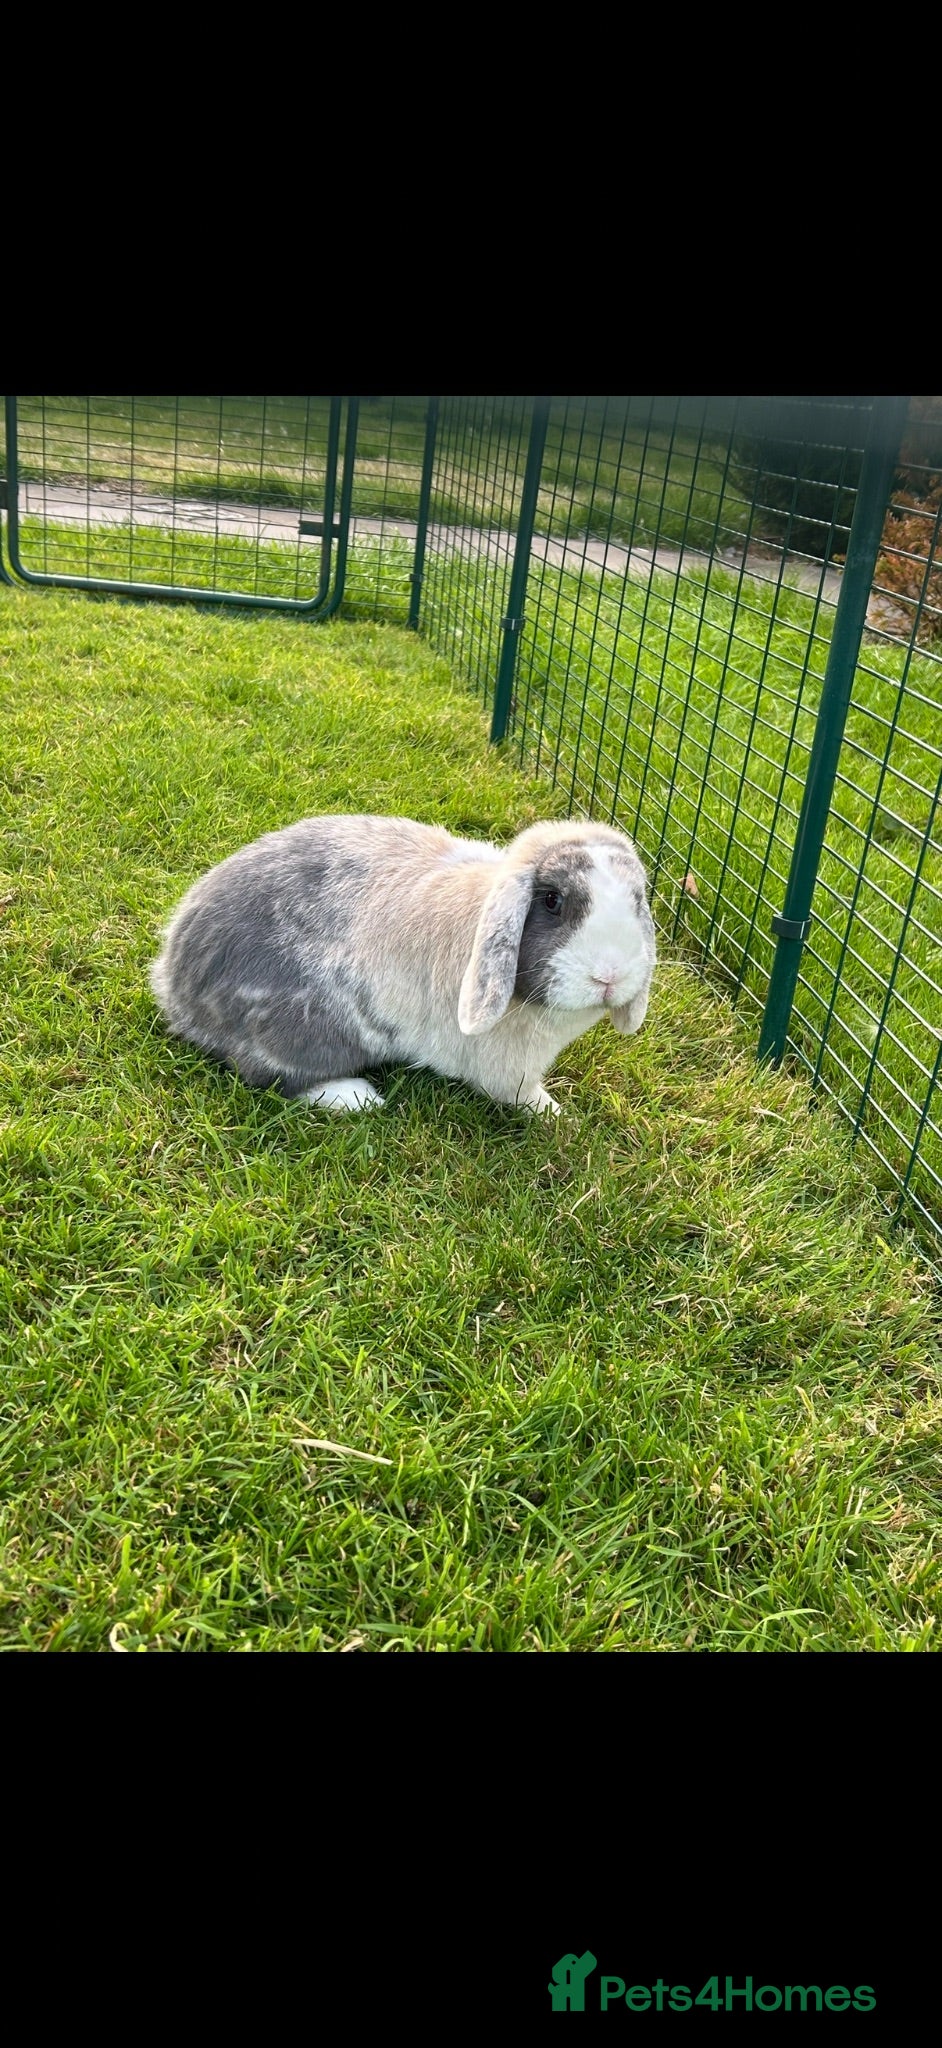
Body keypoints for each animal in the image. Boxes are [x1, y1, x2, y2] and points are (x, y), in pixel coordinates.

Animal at [149, 813, 656, 1115]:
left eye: (638, 900)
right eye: (552, 901)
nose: (609, 975)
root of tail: (175, 983)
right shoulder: (507, 1069)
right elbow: (519, 1094)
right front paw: (553, 1113)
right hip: (298, 1032)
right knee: (268, 1077)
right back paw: (357, 1097)